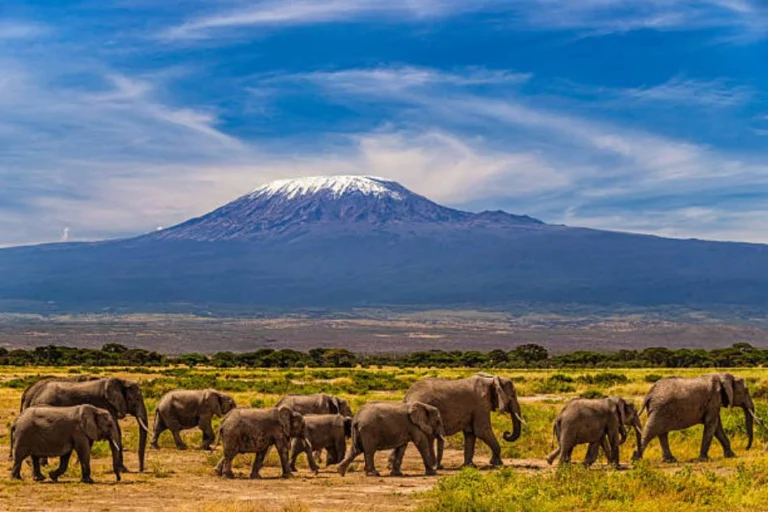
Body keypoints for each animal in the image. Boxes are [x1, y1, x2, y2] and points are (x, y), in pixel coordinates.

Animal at [21, 376, 150, 472]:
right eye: (137, 399)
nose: (141, 469)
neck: (121, 381)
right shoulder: (105, 405)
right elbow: (116, 431)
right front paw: (122, 469)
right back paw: (41, 465)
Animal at [392, 373, 523, 469]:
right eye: (512, 395)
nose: (506, 433)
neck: (490, 380)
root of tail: (407, 396)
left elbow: (470, 434)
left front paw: (469, 466)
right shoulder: (480, 404)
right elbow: (482, 431)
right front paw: (497, 464)